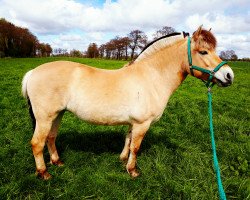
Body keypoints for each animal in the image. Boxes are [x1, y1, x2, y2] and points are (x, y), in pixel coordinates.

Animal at [21, 26, 234, 180]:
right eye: (204, 52)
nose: (229, 75)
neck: (152, 77)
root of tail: (33, 72)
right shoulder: (143, 123)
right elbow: (136, 147)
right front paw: (132, 171)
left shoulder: (134, 123)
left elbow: (128, 140)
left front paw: (122, 159)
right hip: (45, 118)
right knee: (37, 143)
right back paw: (44, 173)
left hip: (57, 114)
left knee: (50, 138)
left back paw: (57, 162)